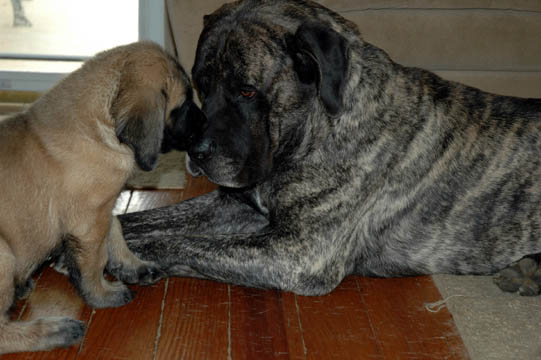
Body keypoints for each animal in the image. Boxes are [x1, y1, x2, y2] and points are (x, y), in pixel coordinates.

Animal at [0, 40, 202, 352]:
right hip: (3, 255)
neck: (95, 127)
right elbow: (94, 261)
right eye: (184, 105)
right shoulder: (88, 222)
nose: (206, 127)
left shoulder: (103, 208)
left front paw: (132, 265)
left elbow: (116, 229)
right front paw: (102, 294)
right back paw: (55, 330)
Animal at [117, 0, 540, 296]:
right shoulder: (238, 206)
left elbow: (179, 242)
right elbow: (144, 221)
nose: (196, 152)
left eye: (247, 91)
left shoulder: (296, 252)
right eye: (201, 86)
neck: (314, 129)